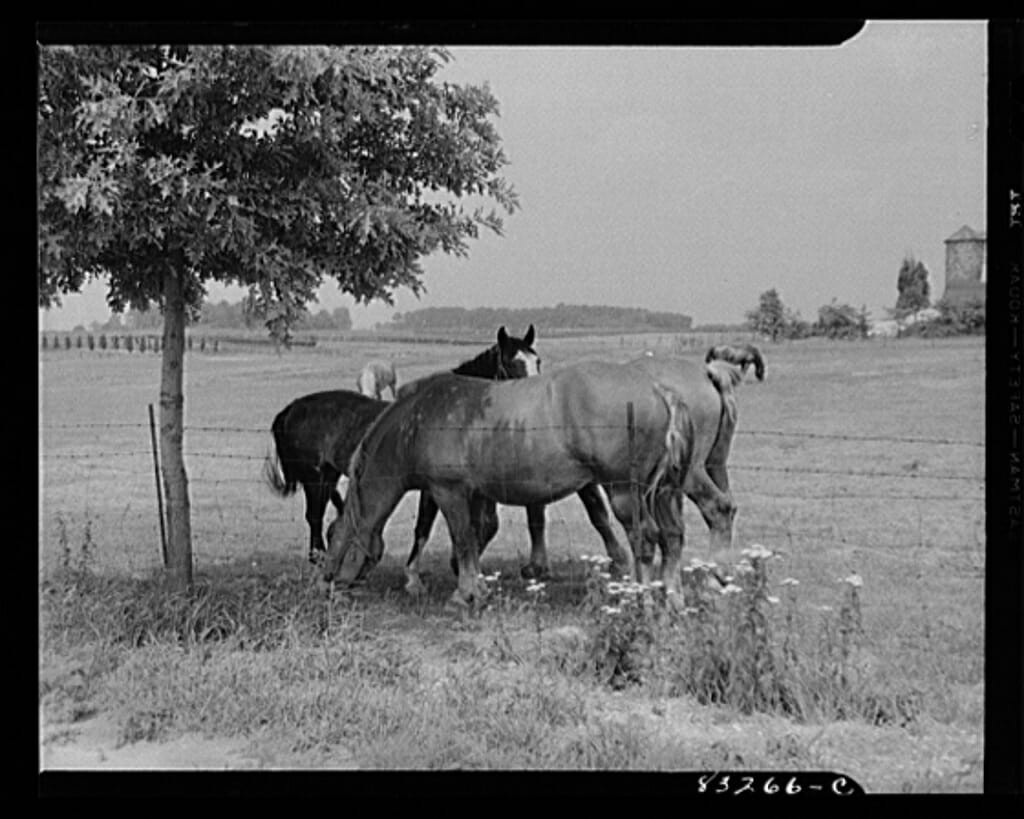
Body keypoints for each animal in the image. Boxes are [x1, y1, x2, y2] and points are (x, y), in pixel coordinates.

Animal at [264, 326, 541, 561]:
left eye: (537, 361)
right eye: (513, 362)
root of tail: (293, 408)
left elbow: (486, 526)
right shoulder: (434, 488)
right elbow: (424, 527)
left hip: (328, 474)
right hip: (314, 476)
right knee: (314, 515)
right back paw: (319, 558)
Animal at [320, 361, 697, 608]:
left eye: (335, 537)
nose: (329, 583)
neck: (418, 422)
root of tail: (658, 390)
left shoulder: (448, 492)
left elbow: (462, 540)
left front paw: (464, 594)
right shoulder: (473, 495)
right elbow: (474, 538)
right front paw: (474, 588)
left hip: (624, 492)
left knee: (644, 540)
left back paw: (641, 601)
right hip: (663, 494)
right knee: (672, 537)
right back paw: (673, 599)